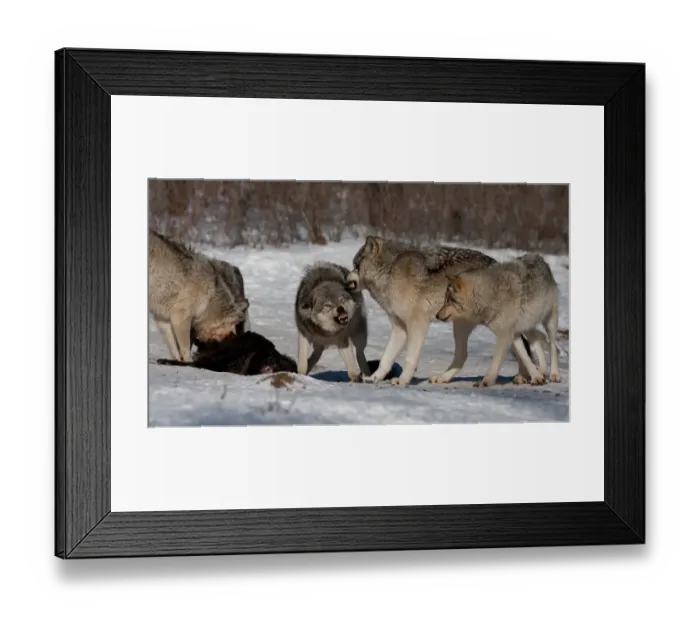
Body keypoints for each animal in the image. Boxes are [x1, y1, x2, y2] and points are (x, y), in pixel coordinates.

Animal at [148, 229, 250, 362]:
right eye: (232, 334)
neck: (210, 301)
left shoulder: (162, 319)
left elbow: (174, 349)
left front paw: (176, 361)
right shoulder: (180, 318)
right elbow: (185, 347)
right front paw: (188, 363)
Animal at [346, 235, 535, 387]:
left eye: (355, 265)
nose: (346, 281)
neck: (390, 272)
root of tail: (498, 264)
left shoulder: (418, 325)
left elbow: (410, 358)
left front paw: (403, 380)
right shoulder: (399, 328)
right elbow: (385, 358)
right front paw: (374, 378)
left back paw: (528, 377)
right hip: (461, 326)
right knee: (466, 355)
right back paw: (443, 378)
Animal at [436, 252, 561, 387]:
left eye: (449, 301)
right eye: (445, 300)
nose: (437, 316)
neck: (489, 295)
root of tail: (538, 257)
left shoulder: (504, 335)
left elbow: (495, 362)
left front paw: (485, 382)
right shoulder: (513, 334)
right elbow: (525, 357)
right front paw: (537, 377)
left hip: (550, 321)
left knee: (553, 347)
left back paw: (554, 375)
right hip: (527, 326)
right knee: (537, 345)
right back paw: (541, 372)